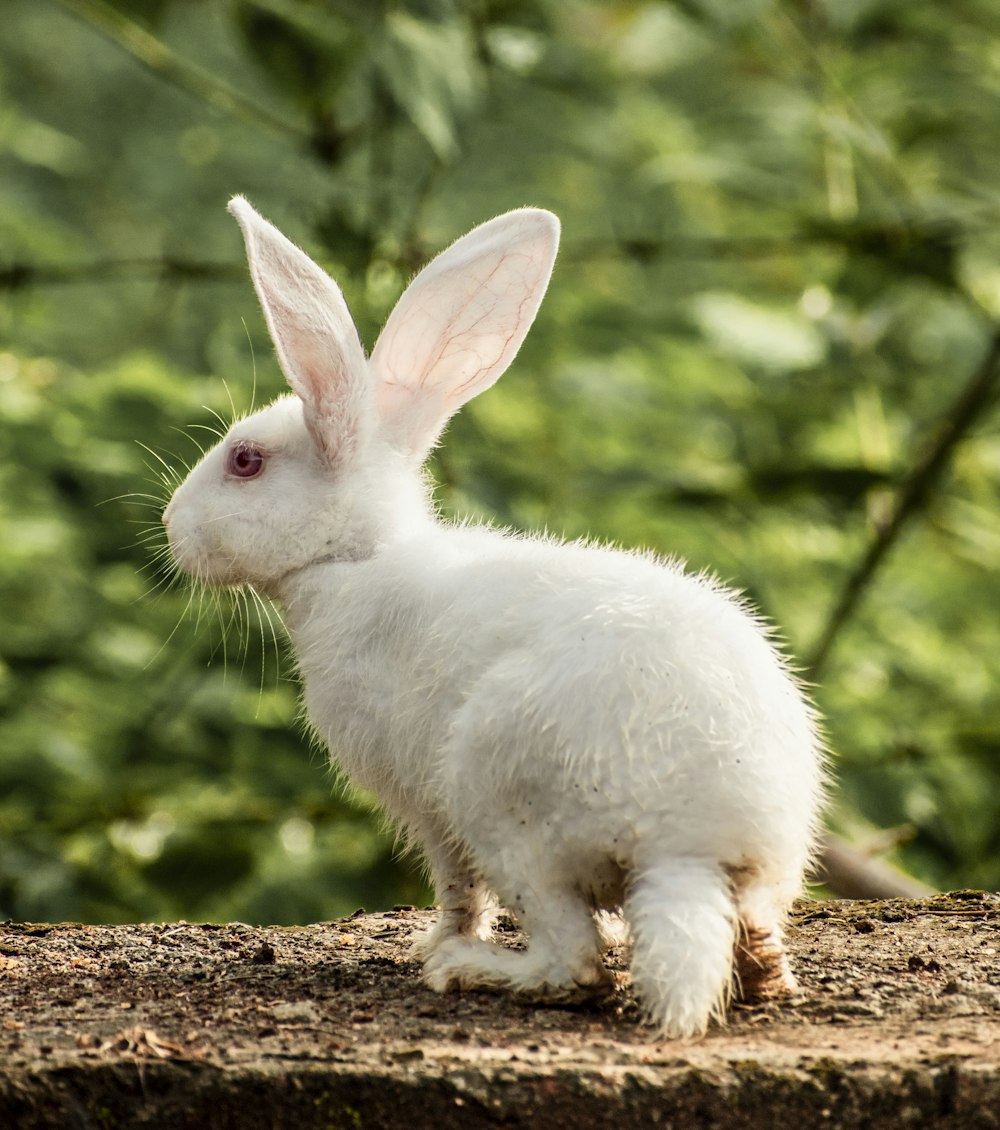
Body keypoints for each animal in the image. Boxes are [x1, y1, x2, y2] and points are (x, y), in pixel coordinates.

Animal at [161, 198, 818, 1035]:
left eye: (245, 462)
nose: (172, 528)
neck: (353, 560)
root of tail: (690, 851)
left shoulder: (425, 806)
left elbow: (455, 887)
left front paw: (433, 942)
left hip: (501, 802)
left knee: (572, 964)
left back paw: (468, 970)